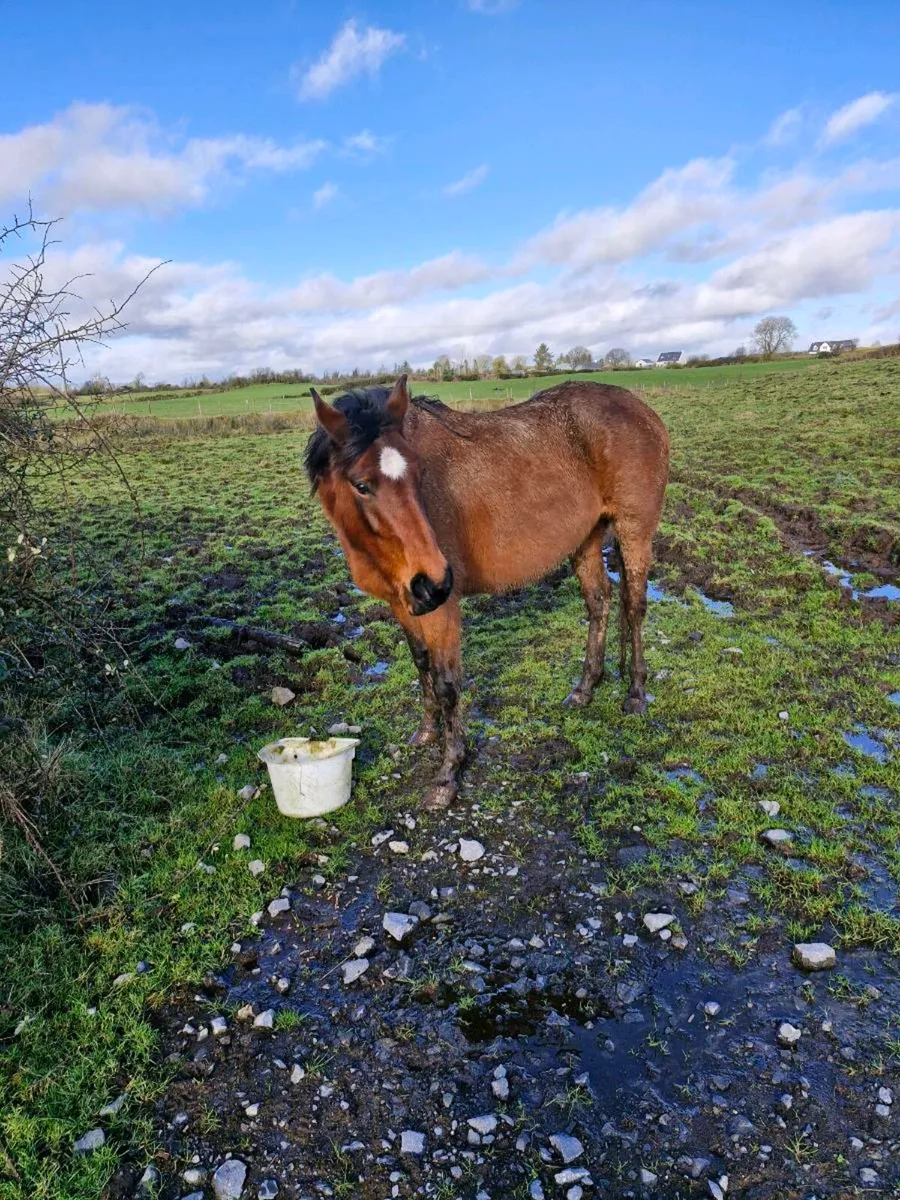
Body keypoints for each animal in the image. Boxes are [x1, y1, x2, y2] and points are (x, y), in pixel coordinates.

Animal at [305, 375, 669, 810]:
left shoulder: (441, 608)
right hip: (587, 537)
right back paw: (585, 689)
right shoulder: (403, 602)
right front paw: (425, 732)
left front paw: (448, 774)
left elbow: (447, 683)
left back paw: (635, 694)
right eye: (361, 485)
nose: (435, 580)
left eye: (421, 473)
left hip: (634, 532)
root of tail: (641, 409)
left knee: (634, 606)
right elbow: (421, 664)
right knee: (600, 601)